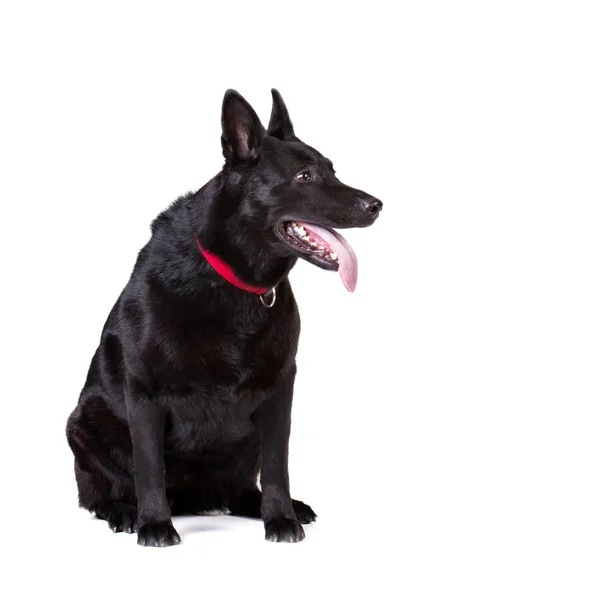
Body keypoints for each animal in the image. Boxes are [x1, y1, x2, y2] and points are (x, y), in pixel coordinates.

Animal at [66, 90, 384, 548]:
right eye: (304, 176)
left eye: (333, 171)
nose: (377, 205)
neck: (233, 281)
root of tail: (196, 499)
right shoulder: (144, 390)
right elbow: (149, 468)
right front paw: (155, 524)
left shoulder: (279, 388)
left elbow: (277, 466)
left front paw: (280, 517)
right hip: (83, 422)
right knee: (102, 493)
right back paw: (125, 512)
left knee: (241, 488)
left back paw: (277, 507)